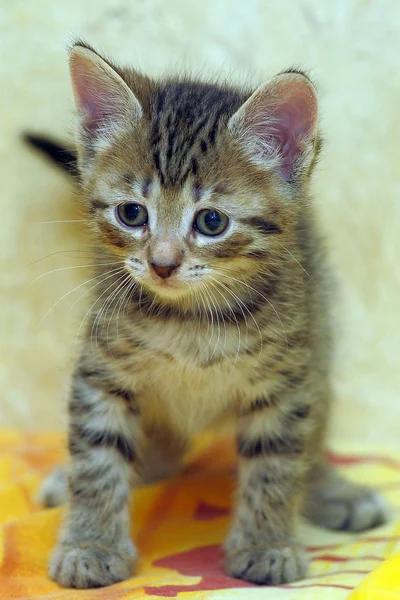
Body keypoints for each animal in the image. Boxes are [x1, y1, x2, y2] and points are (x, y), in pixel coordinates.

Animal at [34, 43, 388, 592]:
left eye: (212, 222)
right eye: (132, 214)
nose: (161, 263)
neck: (191, 322)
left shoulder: (288, 377)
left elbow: (276, 464)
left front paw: (266, 543)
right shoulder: (101, 370)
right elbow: (98, 458)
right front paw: (90, 544)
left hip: (320, 335)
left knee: (313, 436)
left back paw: (332, 491)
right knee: (160, 451)